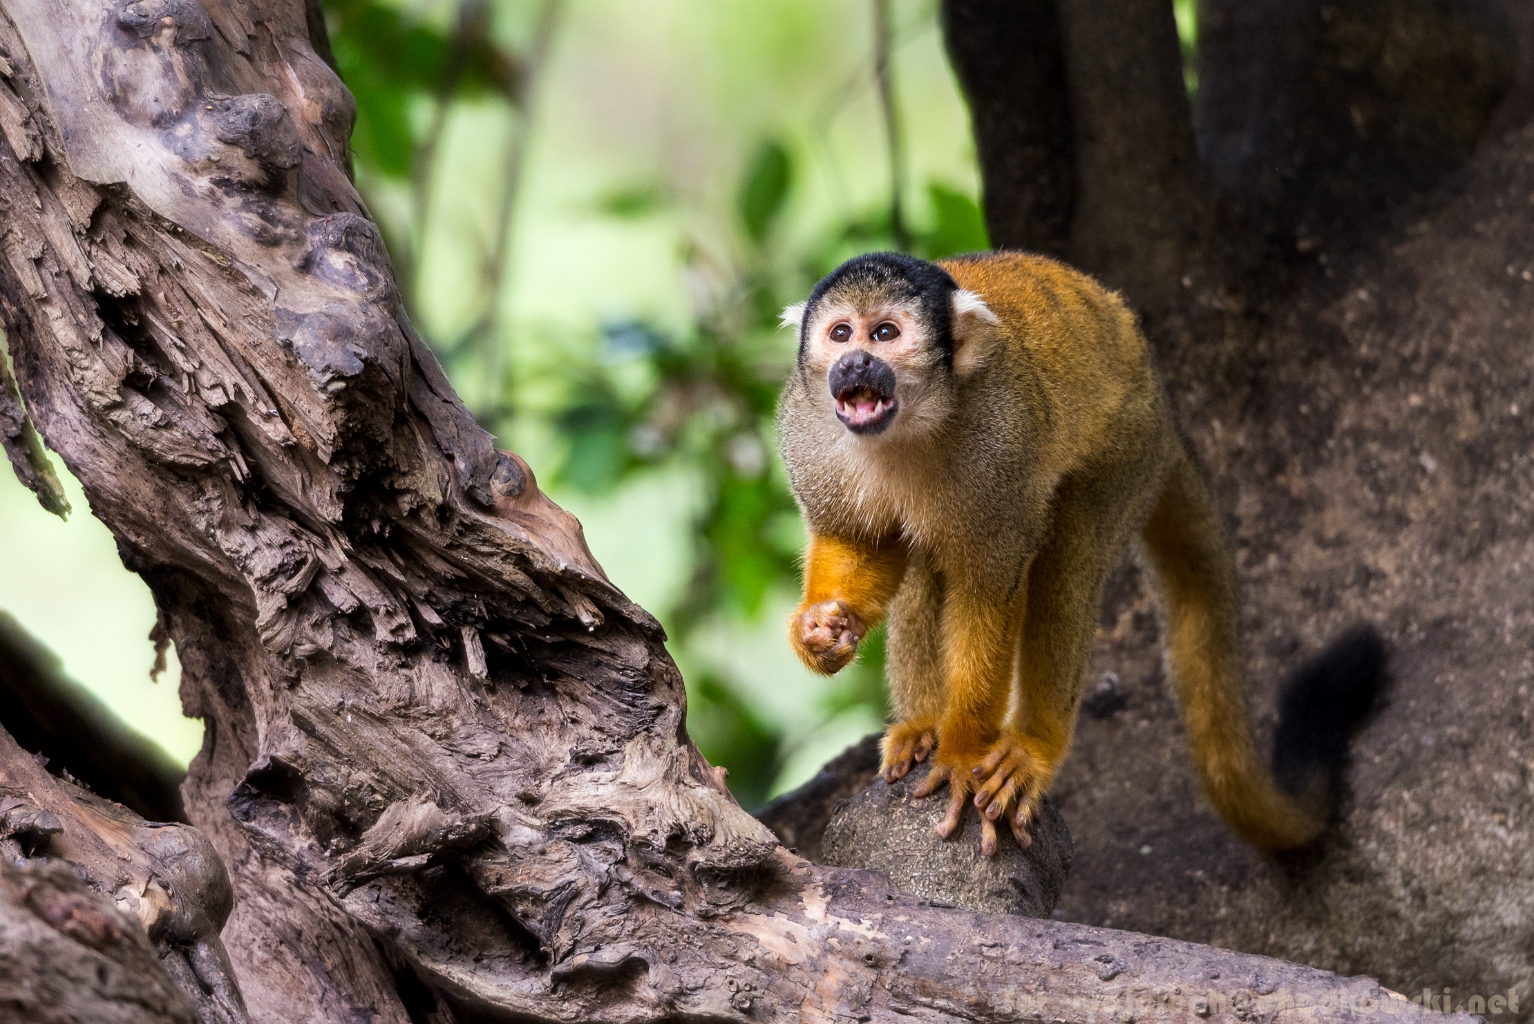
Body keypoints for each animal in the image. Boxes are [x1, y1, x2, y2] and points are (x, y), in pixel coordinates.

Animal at [776, 250, 1381, 857]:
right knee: (928, 566)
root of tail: (1163, 406)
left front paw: (964, 753)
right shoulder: (805, 430)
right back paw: (922, 724)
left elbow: (991, 589)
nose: (853, 362)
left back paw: (1031, 746)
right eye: (840, 333)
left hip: (1127, 449)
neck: (907, 426)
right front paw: (823, 629)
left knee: (1066, 564)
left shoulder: (1001, 444)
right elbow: (859, 542)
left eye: (885, 333)